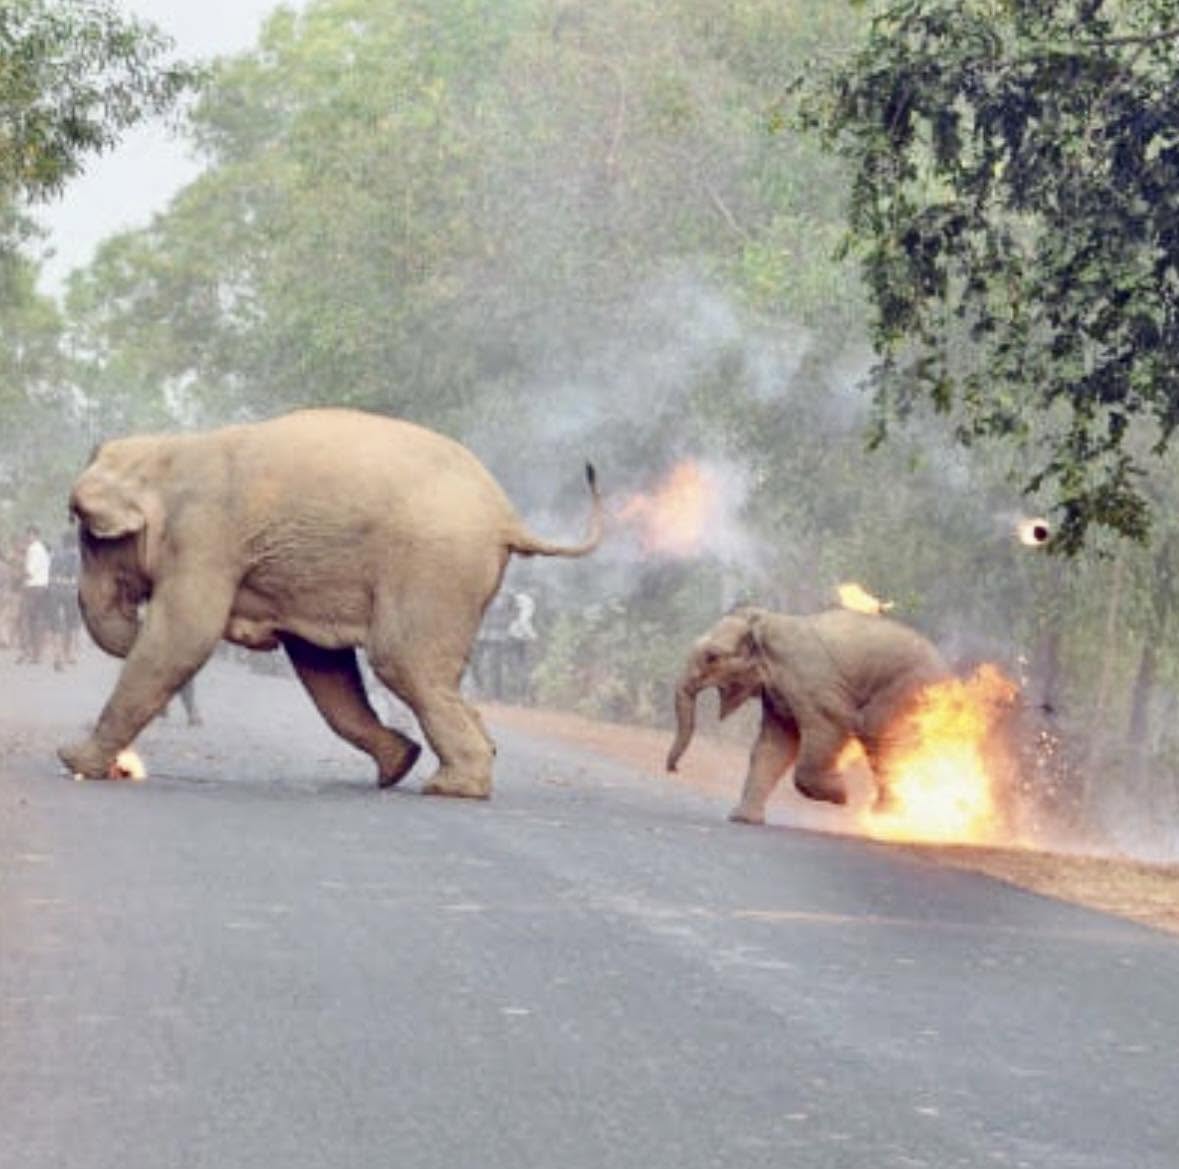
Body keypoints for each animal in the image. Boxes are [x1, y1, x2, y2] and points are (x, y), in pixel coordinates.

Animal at [59, 407, 603, 797]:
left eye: (89, 538)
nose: (132, 620)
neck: (166, 451)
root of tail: (507, 517)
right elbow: (322, 665)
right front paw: (398, 761)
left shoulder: (205, 537)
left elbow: (182, 637)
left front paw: (74, 761)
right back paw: (438, 768)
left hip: (434, 565)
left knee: (401, 663)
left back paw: (453, 788)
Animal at [665, 606, 949, 824]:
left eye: (712, 657)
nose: (674, 769)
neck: (765, 621)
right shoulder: (777, 694)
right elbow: (774, 745)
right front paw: (743, 819)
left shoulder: (810, 678)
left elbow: (831, 725)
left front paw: (840, 796)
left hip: (908, 690)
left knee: (877, 735)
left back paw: (887, 816)